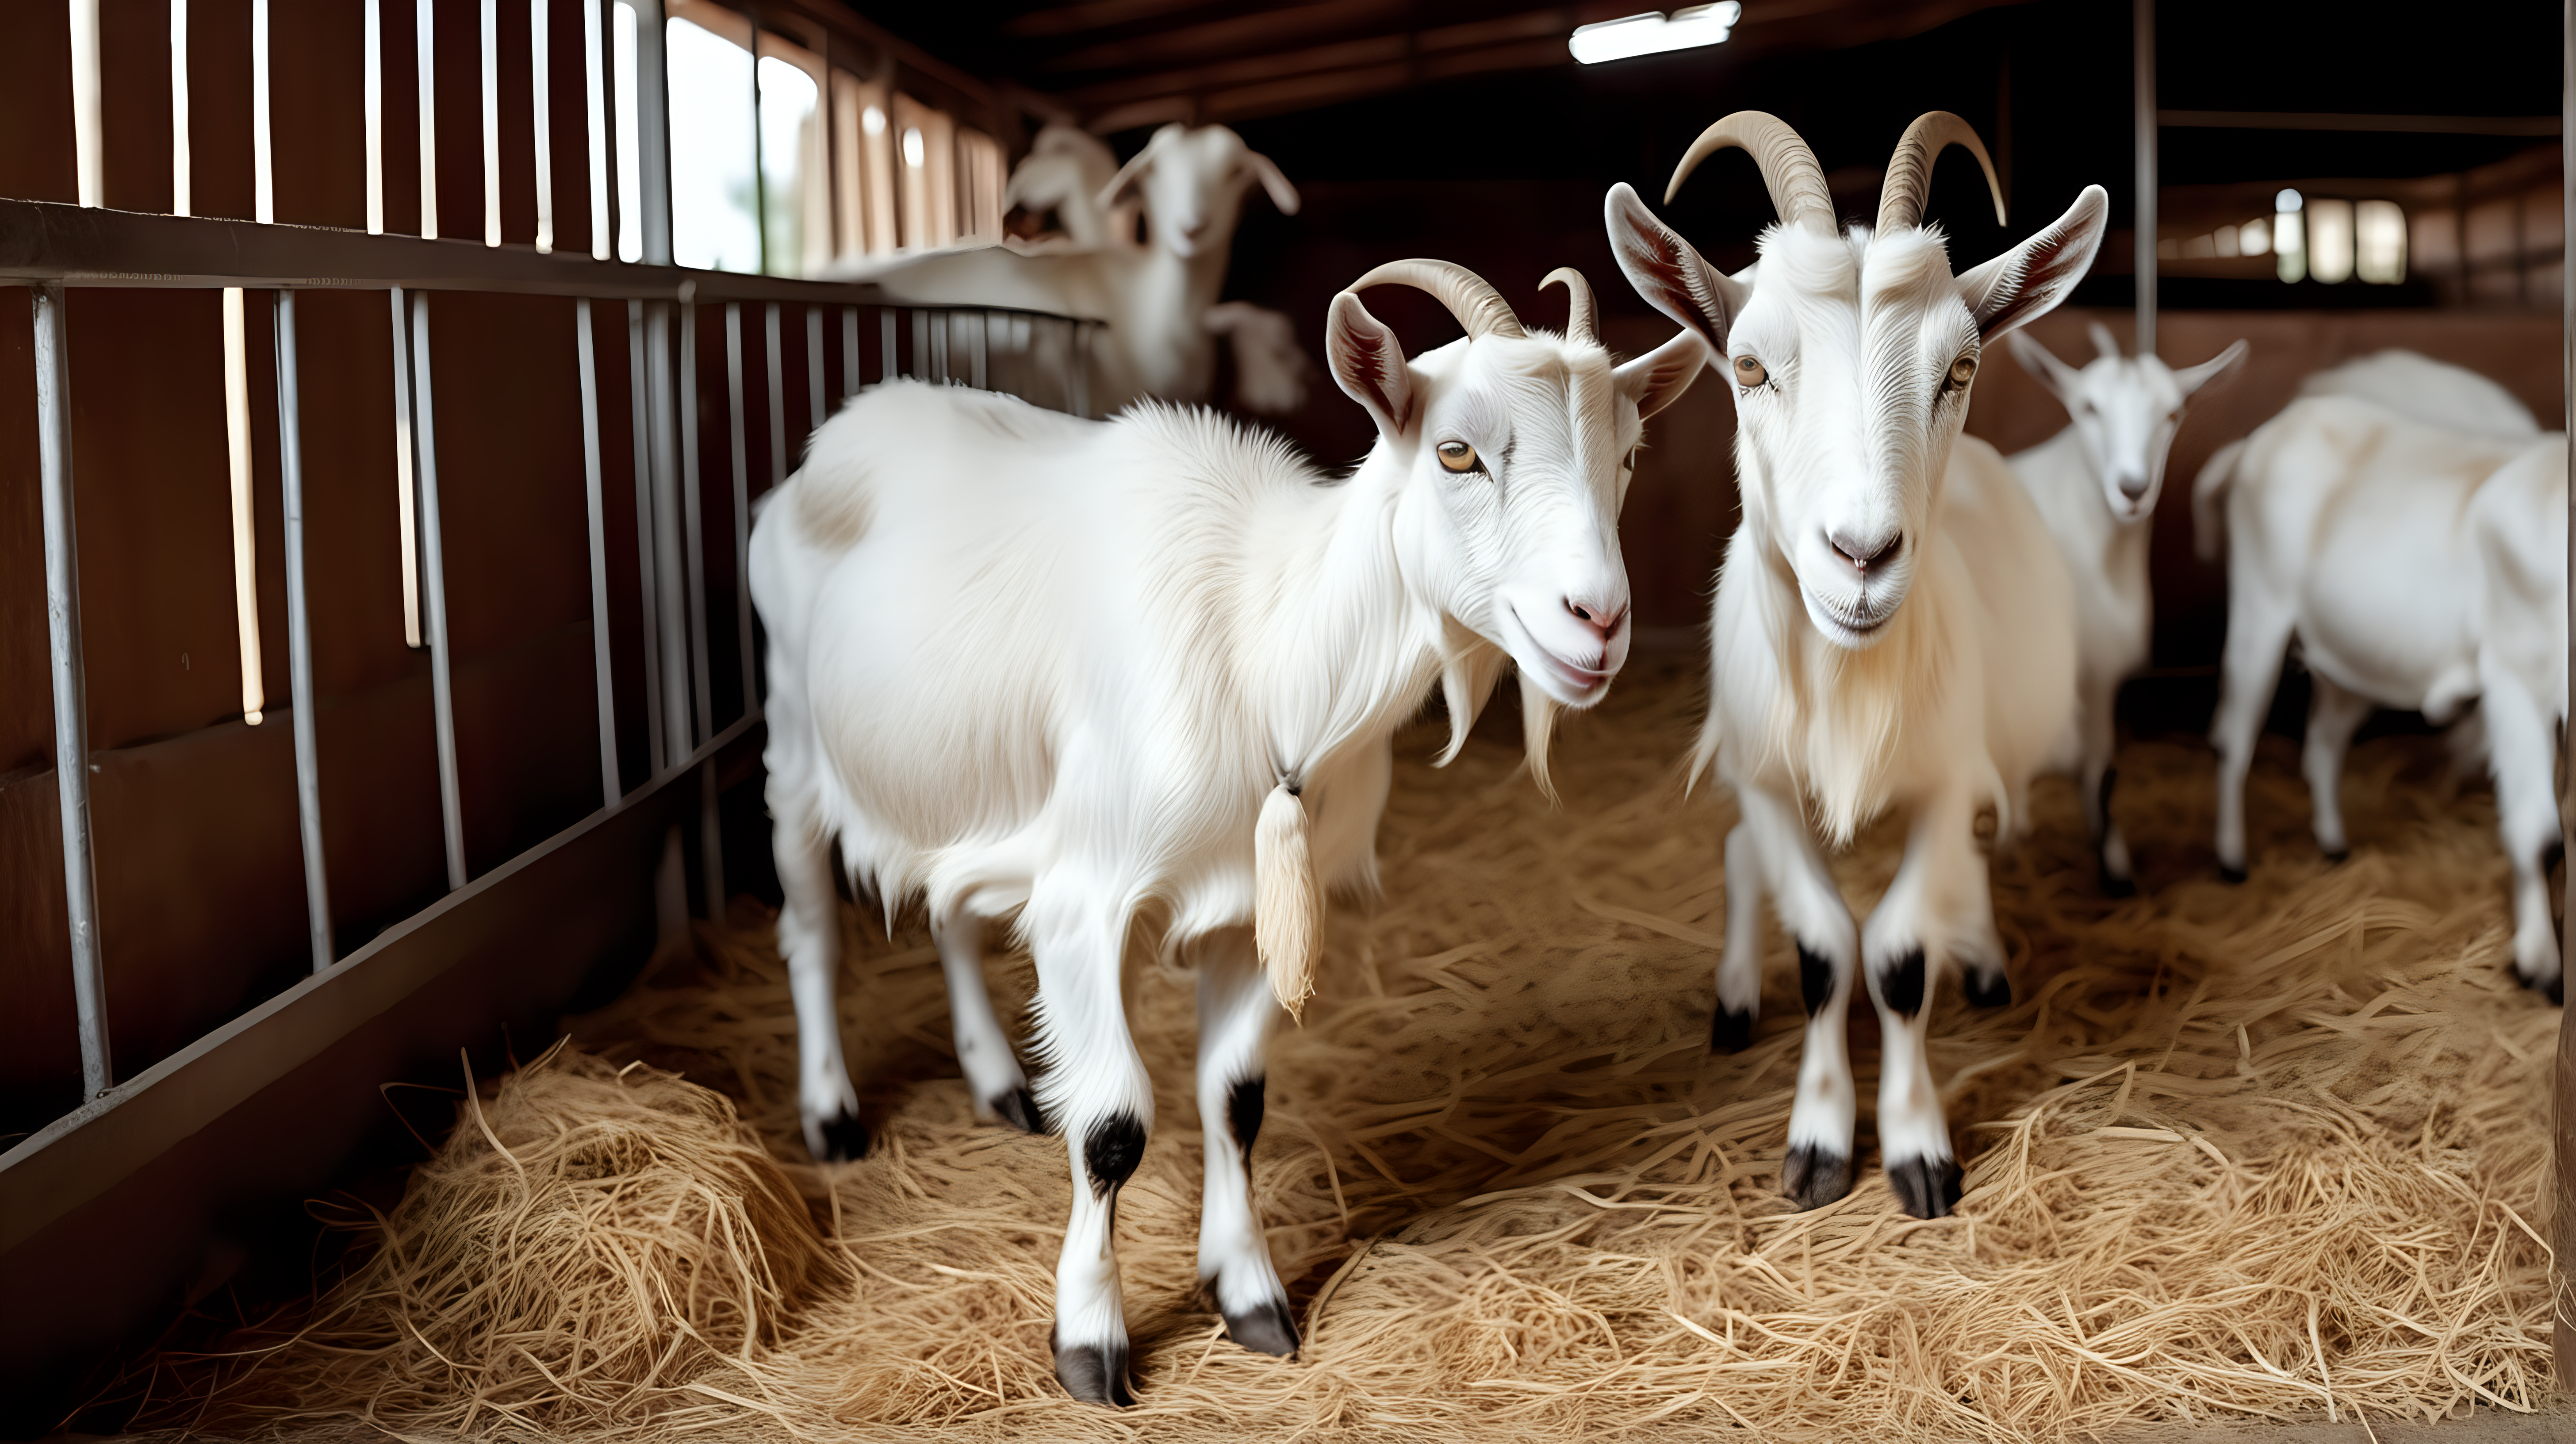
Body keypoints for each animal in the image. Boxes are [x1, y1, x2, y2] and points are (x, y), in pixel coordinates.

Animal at [752, 259, 1710, 1402]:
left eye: (1627, 456)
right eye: (1458, 452)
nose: (1597, 620)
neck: (1266, 646)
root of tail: (837, 437)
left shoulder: (1254, 907)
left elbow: (1236, 1099)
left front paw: (1249, 1293)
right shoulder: (1085, 899)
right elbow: (1114, 1124)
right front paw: (1090, 1342)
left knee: (950, 910)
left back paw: (997, 1081)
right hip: (794, 737)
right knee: (811, 925)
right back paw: (832, 1114)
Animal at [1607, 113, 2112, 1217]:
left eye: (1959, 369)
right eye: (1748, 367)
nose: (1862, 555)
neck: (1850, 678)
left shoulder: (1943, 781)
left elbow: (1894, 955)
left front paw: (1916, 1148)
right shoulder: (1762, 778)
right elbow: (1824, 951)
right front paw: (1820, 1138)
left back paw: (1985, 960)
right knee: (1739, 859)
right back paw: (1731, 1001)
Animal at [1999, 325, 2246, 892]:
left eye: (2174, 413)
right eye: (2088, 407)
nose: (2132, 489)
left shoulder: (2099, 673)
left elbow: (2101, 771)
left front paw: (2114, 869)